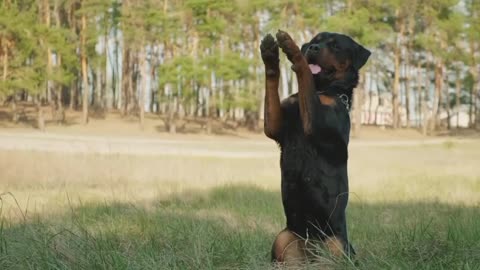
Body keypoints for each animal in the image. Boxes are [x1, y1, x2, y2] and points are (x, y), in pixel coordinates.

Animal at [260, 30, 370, 264]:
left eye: (336, 46)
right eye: (315, 41)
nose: (312, 48)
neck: (323, 90)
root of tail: (313, 248)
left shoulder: (316, 122)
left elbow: (305, 74)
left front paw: (291, 47)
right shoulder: (274, 125)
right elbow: (273, 80)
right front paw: (270, 54)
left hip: (337, 244)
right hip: (283, 238)